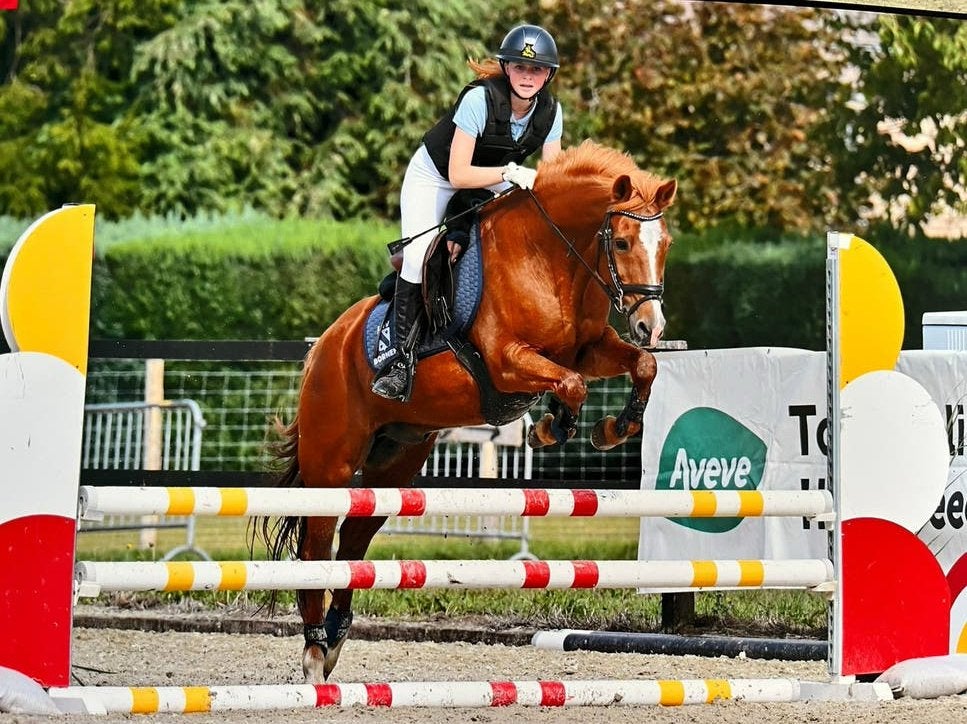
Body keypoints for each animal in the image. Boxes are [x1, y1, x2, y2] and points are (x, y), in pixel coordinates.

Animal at [261, 139, 677, 683]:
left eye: (665, 244)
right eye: (623, 244)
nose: (652, 325)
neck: (552, 256)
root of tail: (323, 348)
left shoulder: (589, 349)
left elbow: (641, 365)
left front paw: (614, 427)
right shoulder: (506, 361)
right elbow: (572, 384)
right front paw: (551, 428)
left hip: (395, 460)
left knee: (353, 541)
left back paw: (332, 641)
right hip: (331, 463)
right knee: (315, 546)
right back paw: (313, 653)